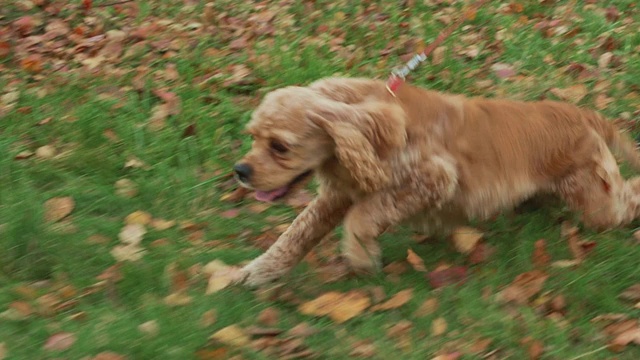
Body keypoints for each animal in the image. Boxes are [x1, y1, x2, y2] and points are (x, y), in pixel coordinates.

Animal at [230, 76, 640, 286]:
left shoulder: (433, 177)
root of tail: (584, 115)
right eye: (252, 136)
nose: (241, 171)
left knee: (629, 196)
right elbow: (294, 236)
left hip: (595, 198)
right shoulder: (338, 194)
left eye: (280, 146)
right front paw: (253, 272)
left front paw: (361, 257)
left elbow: (361, 218)